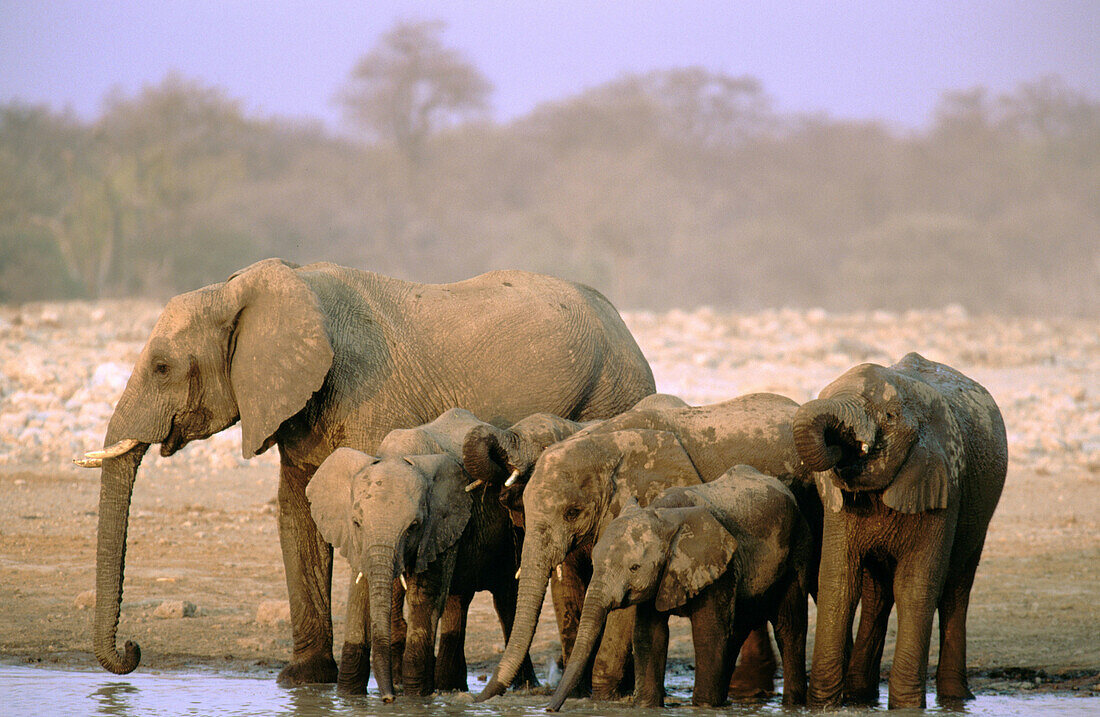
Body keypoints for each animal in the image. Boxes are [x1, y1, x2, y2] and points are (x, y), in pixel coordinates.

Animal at [79, 257, 660, 681]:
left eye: (162, 367)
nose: (132, 650)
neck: (257, 287)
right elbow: (298, 517)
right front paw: (304, 681)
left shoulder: (372, 398)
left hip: (611, 397)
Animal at [547, 464, 814, 712]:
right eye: (594, 561)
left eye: (634, 568)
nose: (549, 709)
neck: (664, 514)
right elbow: (649, 635)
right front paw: (647, 707)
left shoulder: (718, 566)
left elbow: (709, 634)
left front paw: (703, 708)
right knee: (737, 631)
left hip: (798, 546)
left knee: (789, 627)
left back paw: (792, 705)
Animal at [792, 349, 1007, 708]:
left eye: (890, 416)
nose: (840, 443)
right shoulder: (839, 509)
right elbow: (839, 581)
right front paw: (821, 706)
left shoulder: (942, 485)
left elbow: (915, 585)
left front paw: (907, 706)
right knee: (877, 595)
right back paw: (860, 698)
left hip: (978, 516)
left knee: (956, 589)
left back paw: (955, 699)